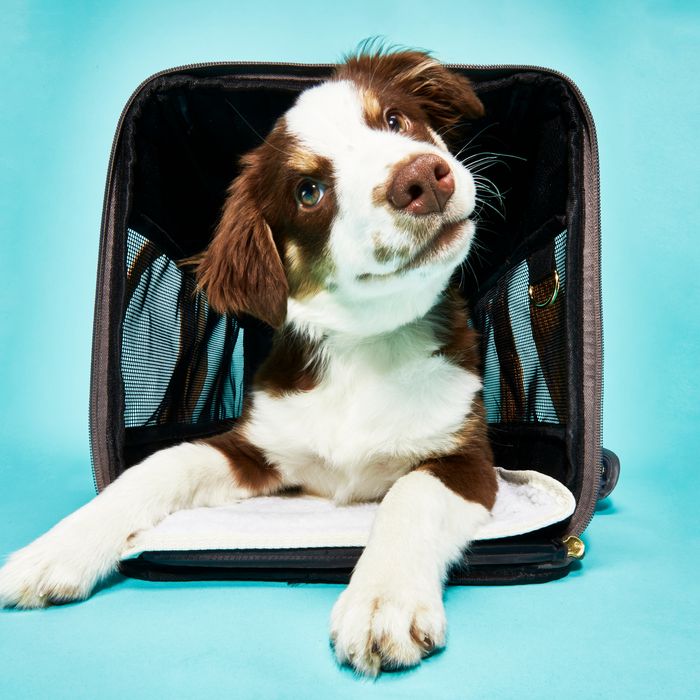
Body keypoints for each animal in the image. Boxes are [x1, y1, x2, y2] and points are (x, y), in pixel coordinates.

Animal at [0, 49, 498, 680]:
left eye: (394, 120)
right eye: (309, 192)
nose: (422, 178)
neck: (366, 345)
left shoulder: (466, 456)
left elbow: (411, 494)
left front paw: (382, 601)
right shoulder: (258, 445)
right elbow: (163, 463)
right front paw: (55, 548)